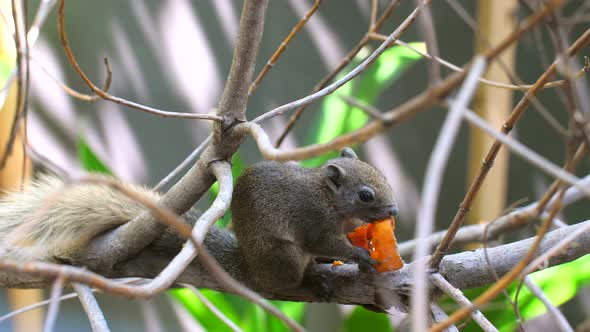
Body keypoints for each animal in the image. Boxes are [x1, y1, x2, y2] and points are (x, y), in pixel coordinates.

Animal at [0, 148, 400, 294]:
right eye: (366, 194)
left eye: (384, 175)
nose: (394, 211)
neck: (329, 197)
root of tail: (250, 269)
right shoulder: (313, 219)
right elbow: (325, 241)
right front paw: (360, 255)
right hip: (282, 258)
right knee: (286, 282)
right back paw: (313, 278)